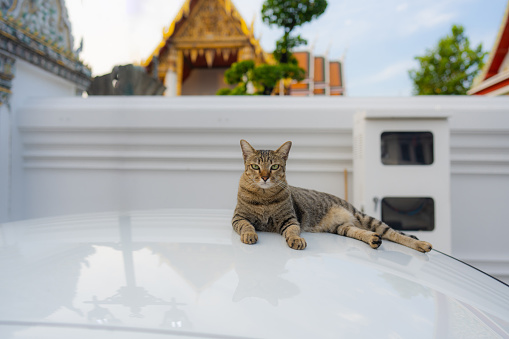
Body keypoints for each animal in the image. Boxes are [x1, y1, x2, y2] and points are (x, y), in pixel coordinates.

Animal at [231, 139, 432, 254]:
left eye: (274, 167)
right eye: (255, 167)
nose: (265, 177)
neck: (264, 196)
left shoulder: (290, 219)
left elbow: (292, 231)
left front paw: (296, 240)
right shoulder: (238, 218)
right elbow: (247, 225)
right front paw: (249, 234)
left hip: (365, 218)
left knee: (394, 234)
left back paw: (421, 244)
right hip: (342, 227)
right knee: (362, 232)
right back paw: (373, 240)